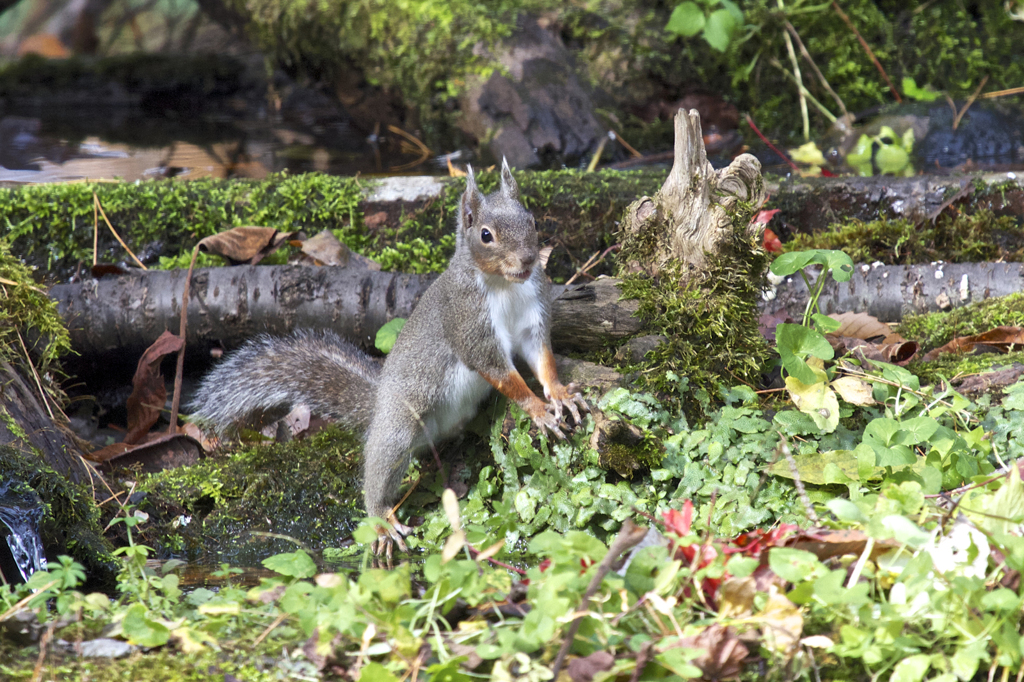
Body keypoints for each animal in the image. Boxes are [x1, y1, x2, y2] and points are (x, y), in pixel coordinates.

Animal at [192, 159, 589, 552]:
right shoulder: (467, 325)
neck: (505, 285)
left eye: (532, 220)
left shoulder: (531, 313)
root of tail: (379, 403)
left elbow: (542, 357)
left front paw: (560, 395)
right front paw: (537, 409)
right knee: (379, 469)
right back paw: (382, 519)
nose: (527, 260)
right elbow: (501, 372)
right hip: (400, 426)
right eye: (486, 235)